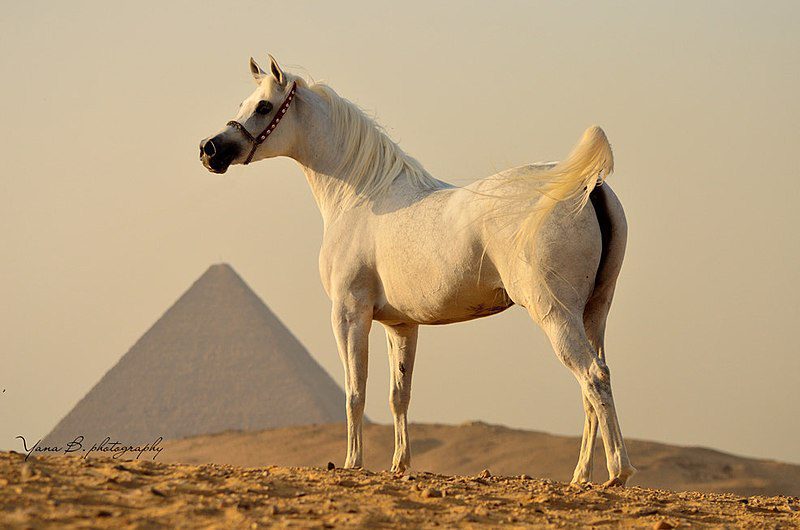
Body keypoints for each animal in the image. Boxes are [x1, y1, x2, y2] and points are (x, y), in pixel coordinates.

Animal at [199, 54, 636, 486]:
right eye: (243, 102)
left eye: (263, 106)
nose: (209, 150)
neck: (363, 197)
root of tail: (588, 187)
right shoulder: (401, 324)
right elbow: (399, 395)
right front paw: (399, 464)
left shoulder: (349, 314)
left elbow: (354, 392)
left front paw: (352, 462)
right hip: (593, 313)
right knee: (593, 386)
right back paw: (581, 476)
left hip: (555, 313)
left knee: (592, 376)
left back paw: (618, 471)